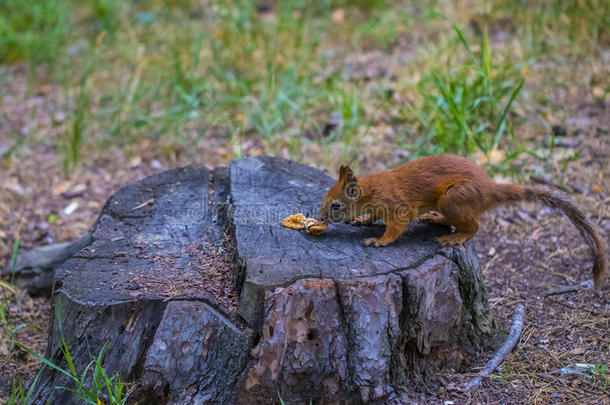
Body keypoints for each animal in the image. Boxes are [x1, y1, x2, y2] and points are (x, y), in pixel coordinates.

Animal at [318, 153, 604, 286]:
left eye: (336, 205)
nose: (319, 217)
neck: (371, 191)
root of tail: (488, 189)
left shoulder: (397, 205)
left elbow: (396, 228)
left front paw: (379, 240)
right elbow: (373, 216)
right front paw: (363, 220)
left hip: (454, 198)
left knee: (475, 226)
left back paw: (454, 237)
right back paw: (435, 218)